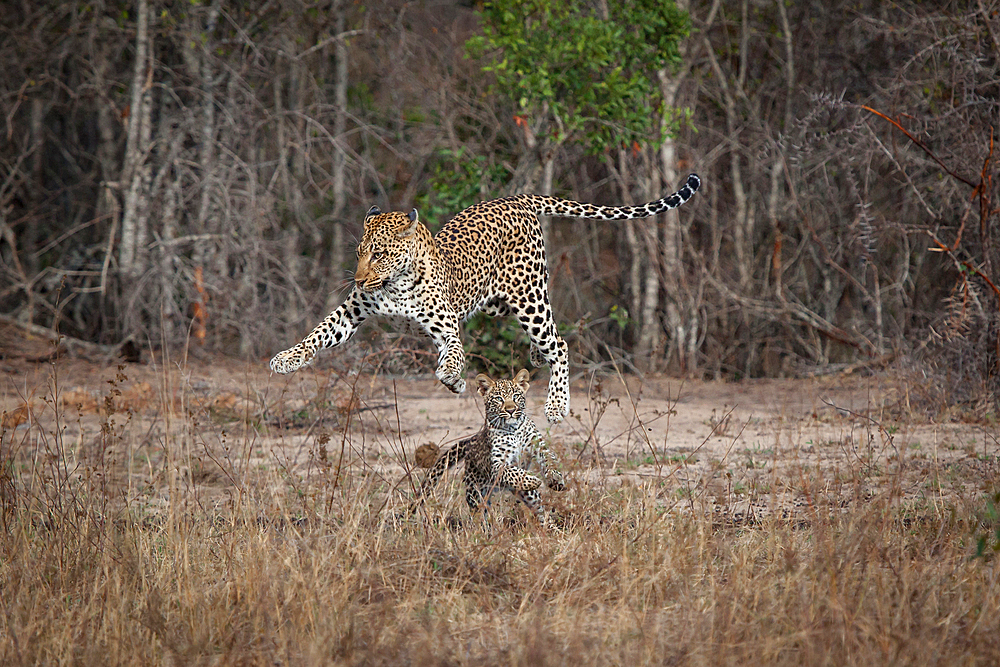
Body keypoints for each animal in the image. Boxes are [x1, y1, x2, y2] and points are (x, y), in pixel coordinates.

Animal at [270, 172, 700, 422]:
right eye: (360, 252)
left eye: (379, 253)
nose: (358, 278)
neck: (395, 282)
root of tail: (517, 199)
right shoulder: (353, 310)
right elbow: (318, 333)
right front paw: (286, 359)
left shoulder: (446, 325)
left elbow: (452, 356)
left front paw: (451, 376)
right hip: (499, 303)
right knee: (543, 339)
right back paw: (533, 359)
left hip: (529, 297)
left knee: (559, 343)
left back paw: (556, 405)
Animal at [404, 368, 564, 528]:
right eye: (499, 398)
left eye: (516, 396)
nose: (511, 410)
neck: (513, 429)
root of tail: (472, 439)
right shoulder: (496, 464)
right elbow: (512, 472)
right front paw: (535, 480)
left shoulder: (539, 446)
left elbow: (550, 460)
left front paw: (555, 479)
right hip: (475, 493)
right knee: (479, 515)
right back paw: (482, 530)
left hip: (527, 494)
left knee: (540, 510)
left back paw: (551, 528)